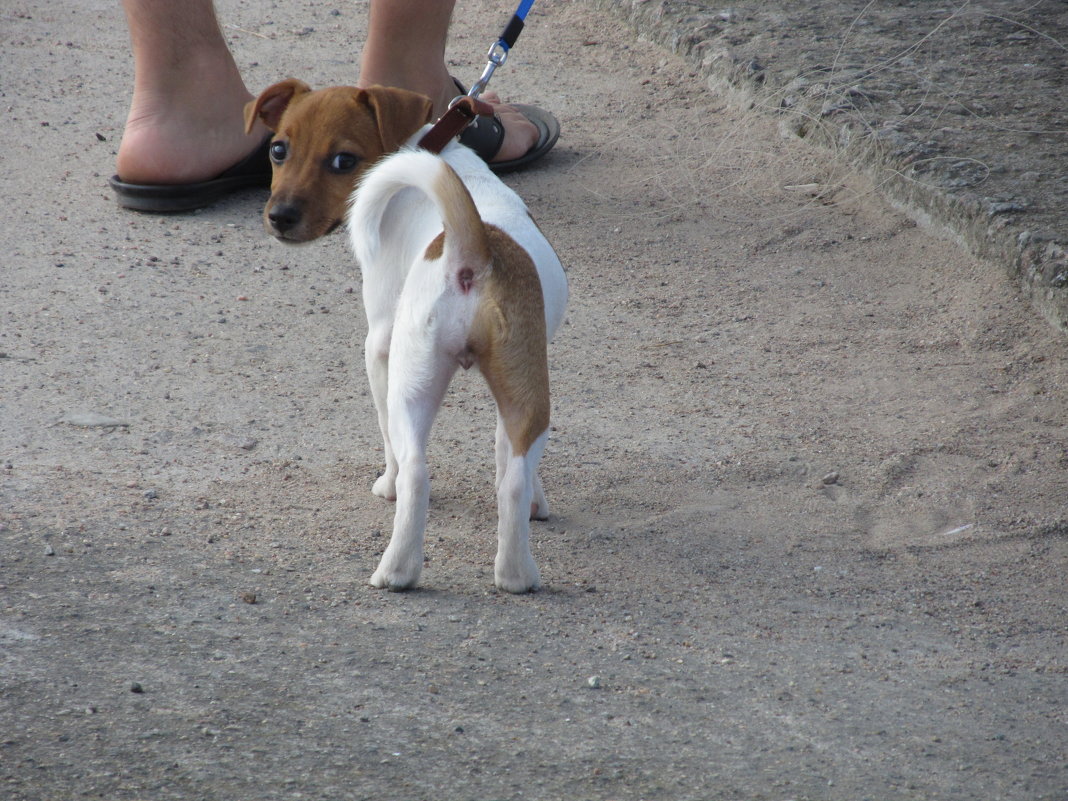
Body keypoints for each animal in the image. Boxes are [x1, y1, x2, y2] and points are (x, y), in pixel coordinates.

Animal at [348, 140, 568, 593]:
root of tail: (474, 254)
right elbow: (509, 460)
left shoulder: (377, 348)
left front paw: (385, 485)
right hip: (525, 399)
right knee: (511, 481)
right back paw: (513, 575)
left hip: (407, 389)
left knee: (413, 471)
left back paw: (398, 570)